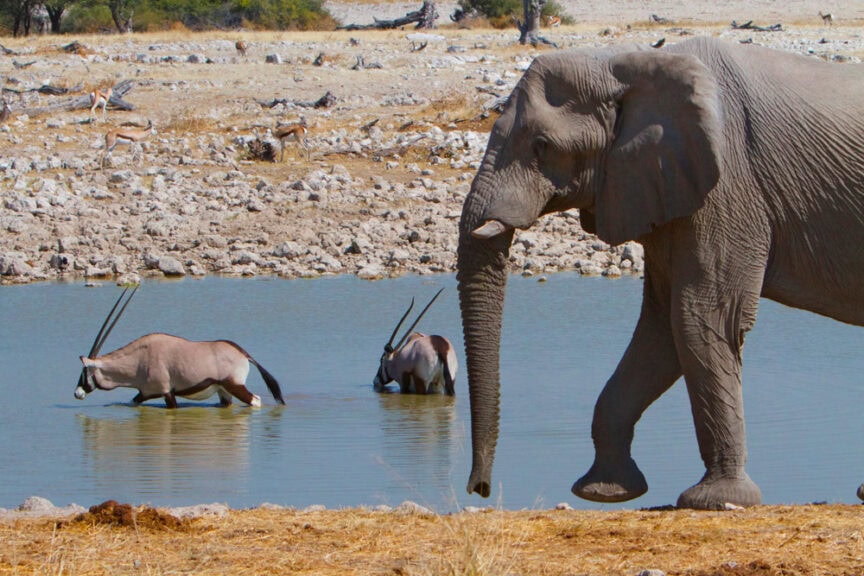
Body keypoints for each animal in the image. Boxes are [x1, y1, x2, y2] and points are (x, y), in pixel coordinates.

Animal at [456, 37, 864, 510]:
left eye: (542, 145)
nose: (480, 488)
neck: (621, 63)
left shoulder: (727, 187)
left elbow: (698, 318)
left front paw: (716, 500)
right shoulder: (660, 186)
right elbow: (659, 330)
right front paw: (604, 492)